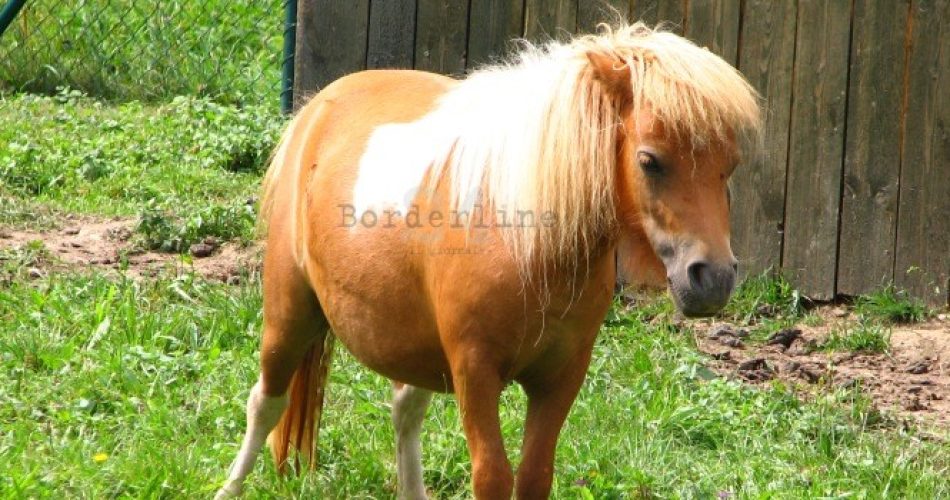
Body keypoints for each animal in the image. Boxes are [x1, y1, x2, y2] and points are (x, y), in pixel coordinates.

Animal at [215, 22, 761, 499]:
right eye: (650, 161)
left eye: (730, 165)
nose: (712, 278)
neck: (528, 244)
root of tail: (319, 107)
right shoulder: (475, 373)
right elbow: (493, 478)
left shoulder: (560, 377)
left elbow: (535, 476)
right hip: (289, 312)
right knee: (266, 402)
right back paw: (230, 487)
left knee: (404, 411)